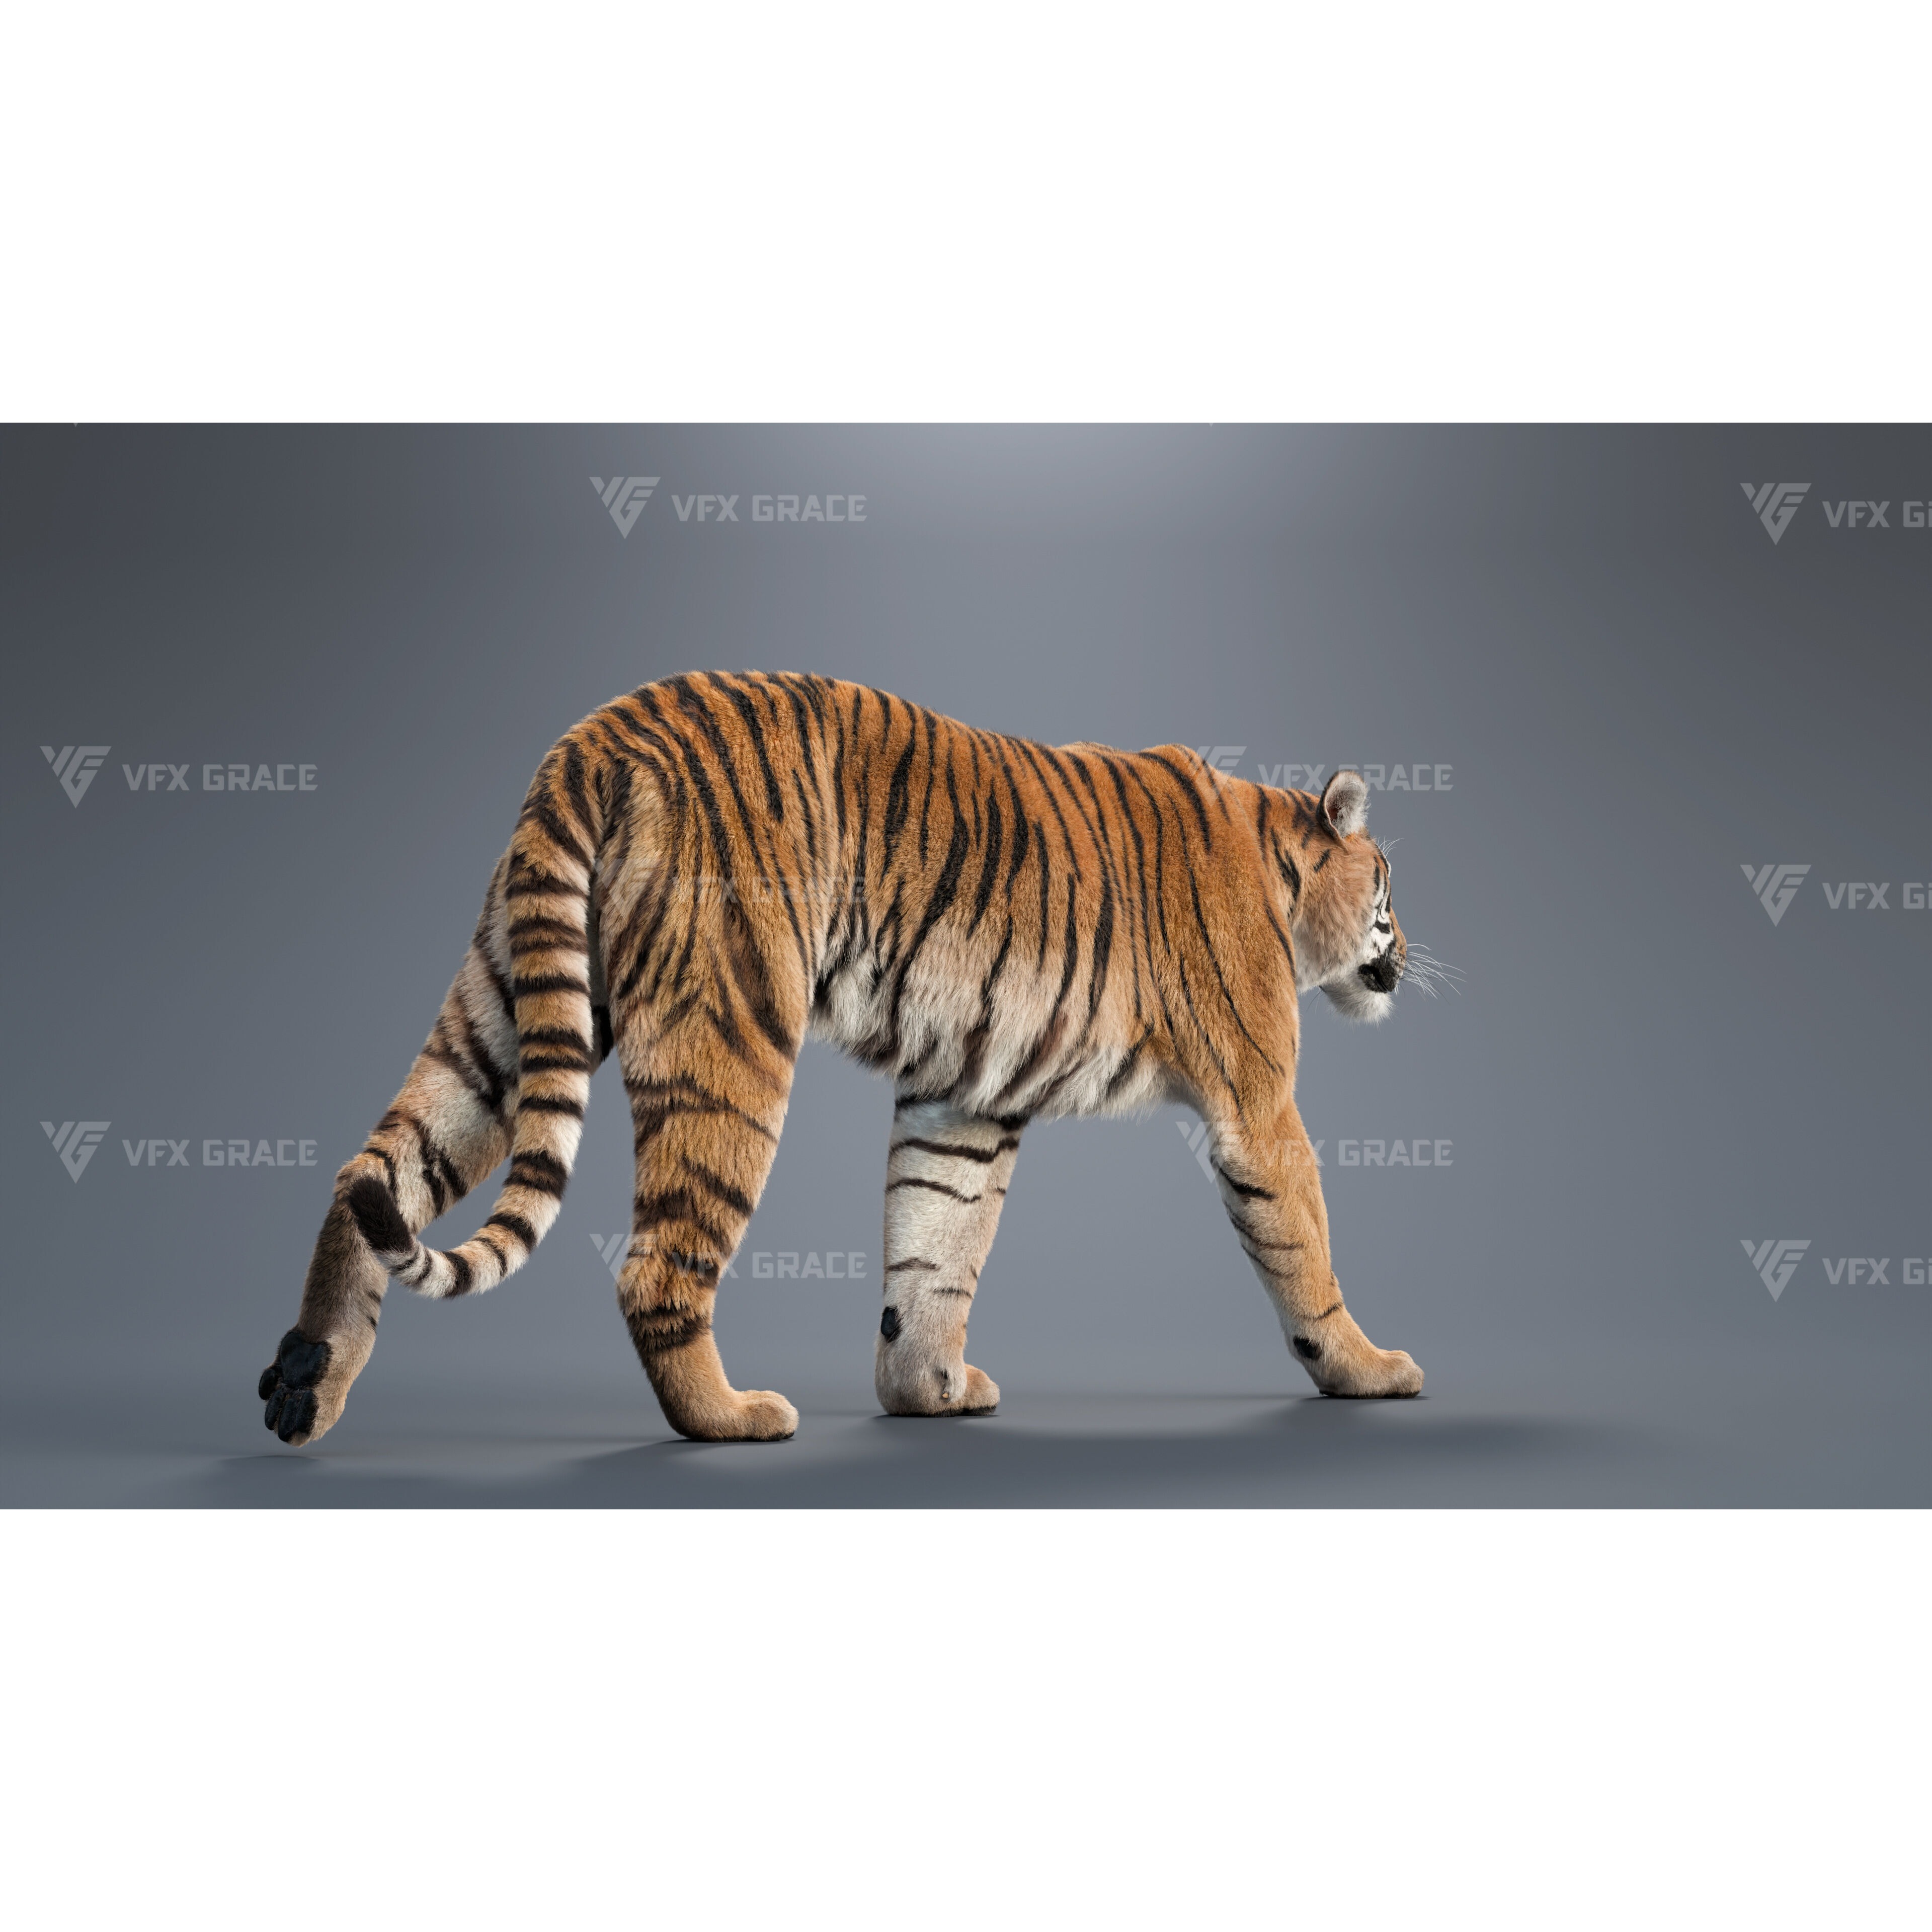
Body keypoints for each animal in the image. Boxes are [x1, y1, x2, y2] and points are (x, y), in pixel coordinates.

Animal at [258, 671, 1424, 1446]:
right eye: (1388, 885)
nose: (1406, 950)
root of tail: (597, 736)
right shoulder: (1258, 1105)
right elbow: (1305, 1248)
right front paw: (1369, 1369)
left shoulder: (963, 1102)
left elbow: (934, 1253)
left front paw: (926, 1391)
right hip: (728, 1035)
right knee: (654, 1264)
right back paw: (732, 1418)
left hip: (506, 1011)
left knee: (372, 1175)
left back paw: (306, 1383)